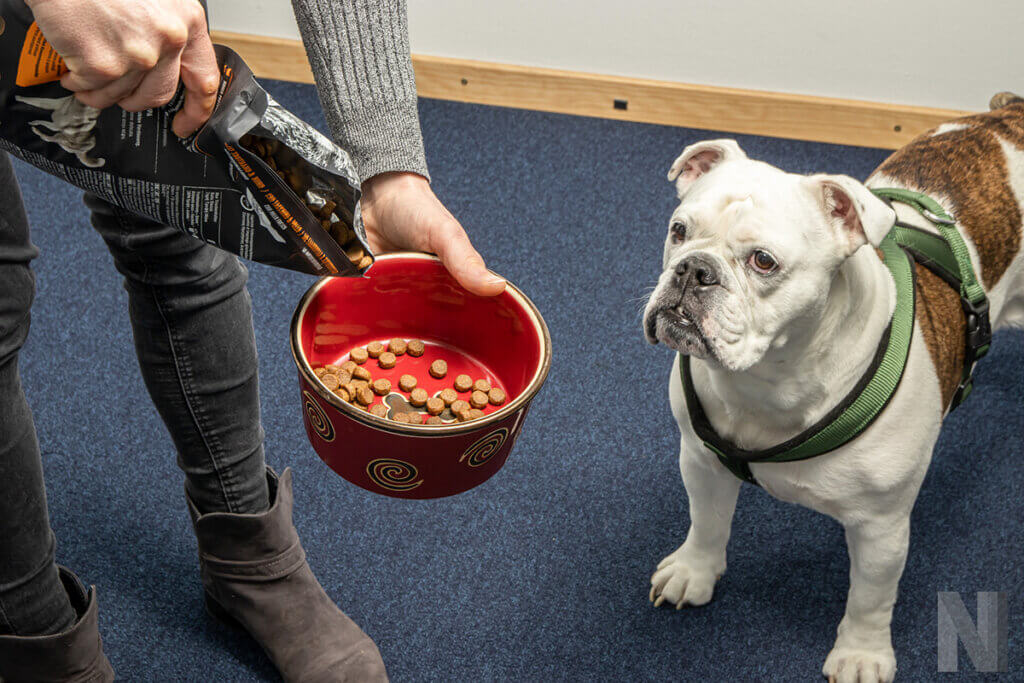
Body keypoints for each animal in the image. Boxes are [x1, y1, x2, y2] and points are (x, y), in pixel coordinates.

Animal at [643, 93, 1019, 679]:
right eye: (679, 230)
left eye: (763, 261)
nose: (693, 270)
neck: (772, 380)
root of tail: (1009, 113)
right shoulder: (701, 462)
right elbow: (706, 523)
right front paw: (695, 571)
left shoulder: (881, 529)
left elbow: (869, 597)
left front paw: (861, 654)